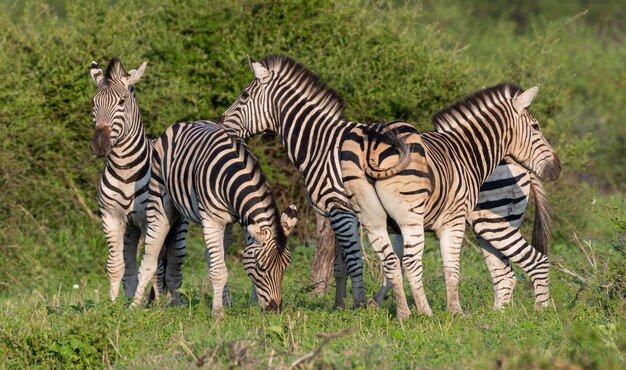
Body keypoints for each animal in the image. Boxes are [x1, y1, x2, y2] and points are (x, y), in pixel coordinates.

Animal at [89, 57, 189, 300]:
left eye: (122, 102)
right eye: (94, 103)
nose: (100, 144)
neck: (125, 170)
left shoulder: (150, 220)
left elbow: (155, 267)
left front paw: (153, 304)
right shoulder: (111, 217)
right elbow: (115, 266)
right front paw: (112, 304)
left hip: (178, 226)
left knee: (172, 266)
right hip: (131, 229)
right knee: (131, 266)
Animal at [130, 122, 298, 316]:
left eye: (285, 266)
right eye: (262, 267)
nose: (274, 309)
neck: (233, 176)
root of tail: (183, 124)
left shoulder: (244, 220)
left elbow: (228, 262)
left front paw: (250, 305)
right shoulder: (212, 220)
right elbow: (219, 271)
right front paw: (217, 313)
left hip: (223, 223)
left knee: (212, 257)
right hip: (160, 201)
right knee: (150, 258)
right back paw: (136, 306)